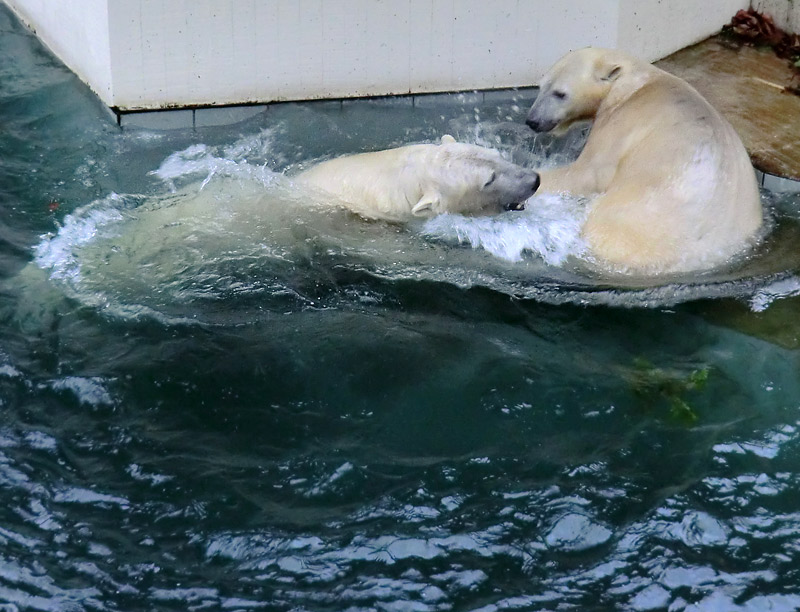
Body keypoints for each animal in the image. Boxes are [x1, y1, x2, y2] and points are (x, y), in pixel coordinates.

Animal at [524, 47, 764, 274]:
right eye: (541, 87)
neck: (632, 84)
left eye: (560, 93)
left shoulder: (622, 122)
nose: (532, 121)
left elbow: (587, 174)